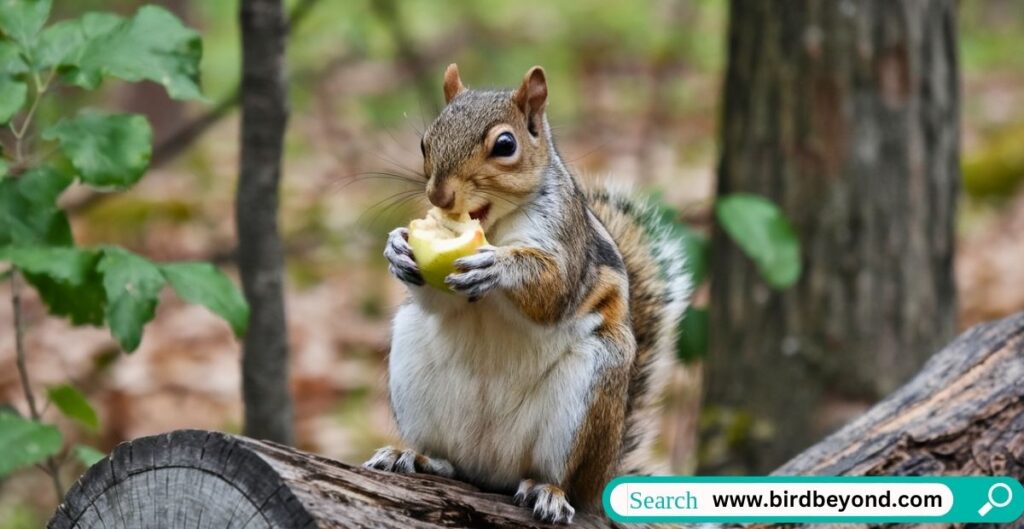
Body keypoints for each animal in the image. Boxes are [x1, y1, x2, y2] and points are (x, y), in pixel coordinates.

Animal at [364, 63, 692, 521]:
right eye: (425, 141)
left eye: (505, 145)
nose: (439, 196)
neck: (496, 226)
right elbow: (436, 301)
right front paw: (397, 248)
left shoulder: (564, 238)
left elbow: (552, 291)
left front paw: (498, 266)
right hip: (413, 364)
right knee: (454, 463)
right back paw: (416, 458)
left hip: (590, 389)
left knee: (563, 479)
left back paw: (549, 492)